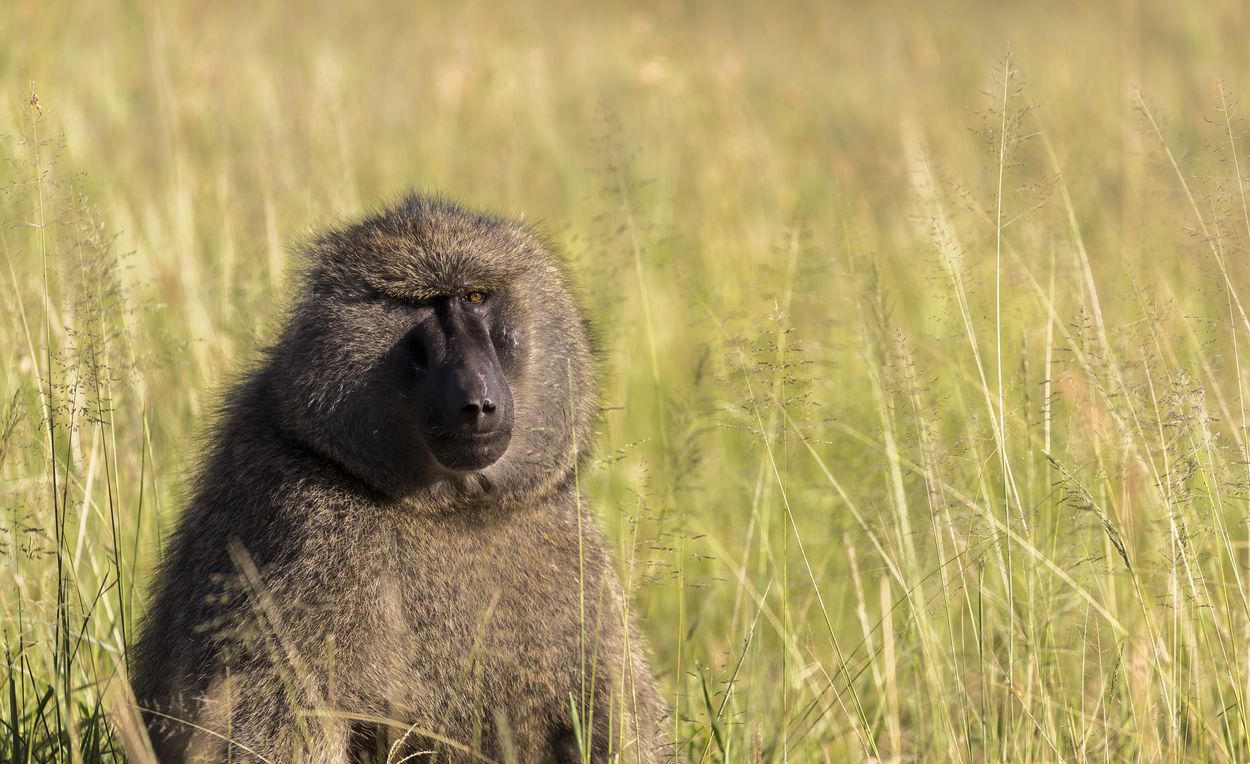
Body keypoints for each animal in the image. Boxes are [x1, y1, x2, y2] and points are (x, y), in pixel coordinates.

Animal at [130, 193, 672, 763]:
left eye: (475, 296)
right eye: (421, 308)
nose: (477, 401)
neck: (451, 507)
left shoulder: (566, 537)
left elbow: (619, 717)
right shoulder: (300, 528)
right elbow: (275, 722)